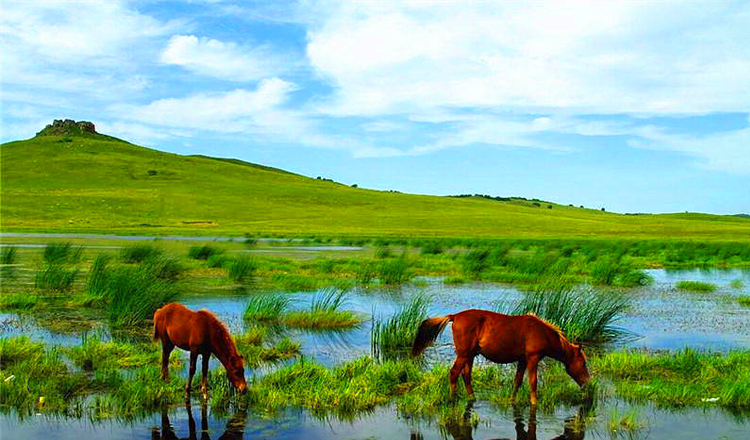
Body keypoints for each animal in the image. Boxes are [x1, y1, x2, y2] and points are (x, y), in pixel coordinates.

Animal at [412, 308, 592, 404]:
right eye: (583, 363)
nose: (588, 384)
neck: (541, 332)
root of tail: (455, 316)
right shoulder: (532, 359)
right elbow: (533, 382)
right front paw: (535, 403)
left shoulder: (522, 360)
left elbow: (517, 381)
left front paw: (512, 400)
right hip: (463, 355)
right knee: (454, 373)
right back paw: (453, 398)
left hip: (470, 355)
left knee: (466, 375)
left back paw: (472, 398)